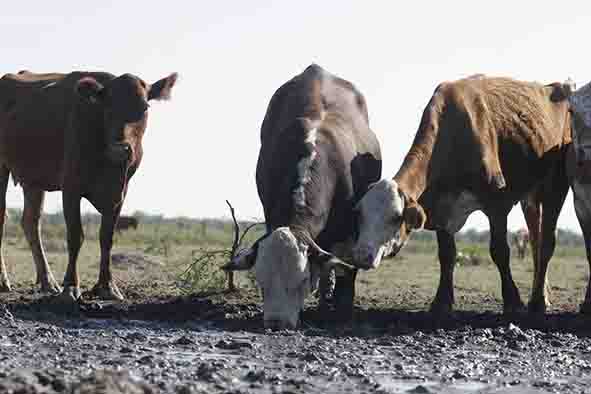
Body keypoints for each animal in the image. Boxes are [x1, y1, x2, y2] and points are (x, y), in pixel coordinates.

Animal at [0, 70, 178, 302]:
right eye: (107, 107)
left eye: (145, 107)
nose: (120, 148)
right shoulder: (71, 187)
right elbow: (76, 236)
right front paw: (71, 287)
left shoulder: (120, 194)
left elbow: (106, 238)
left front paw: (107, 287)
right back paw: (4, 281)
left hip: (33, 180)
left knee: (31, 222)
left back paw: (48, 281)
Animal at [350, 74, 572, 314]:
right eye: (360, 215)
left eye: (394, 218)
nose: (361, 256)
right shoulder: (440, 206)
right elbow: (447, 255)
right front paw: (441, 302)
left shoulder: (497, 203)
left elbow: (500, 251)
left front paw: (513, 302)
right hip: (529, 197)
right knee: (535, 240)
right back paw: (541, 296)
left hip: (556, 185)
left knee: (547, 242)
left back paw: (539, 301)